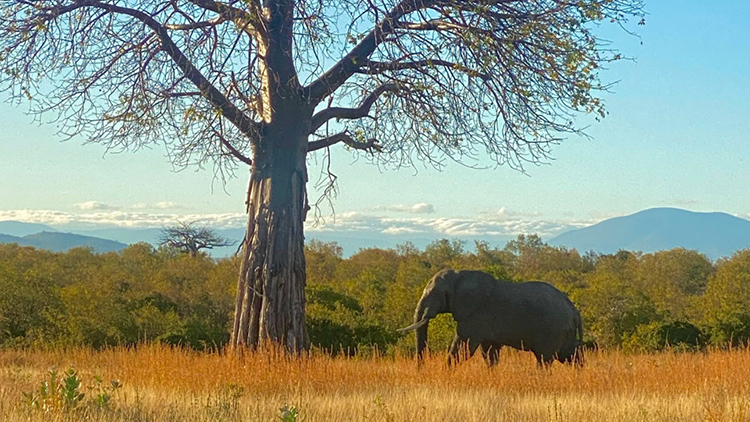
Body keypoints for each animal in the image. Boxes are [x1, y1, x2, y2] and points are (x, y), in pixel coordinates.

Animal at [398, 269, 584, 367]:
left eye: (435, 294)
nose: (420, 370)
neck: (459, 275)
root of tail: (574, 309)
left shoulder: (476, 316)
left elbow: (463, 348)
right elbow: (489, 353)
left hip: (553, 329)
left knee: (545, 358)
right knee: (570, 353)